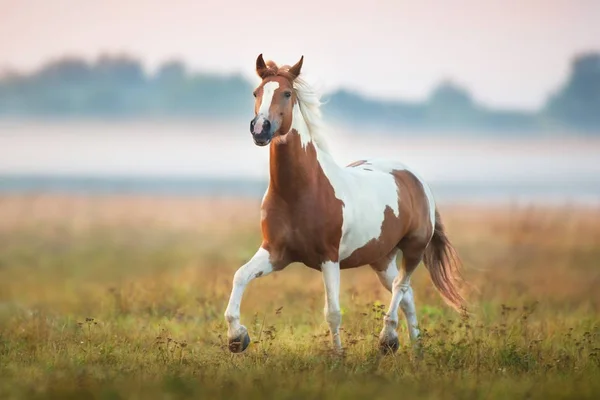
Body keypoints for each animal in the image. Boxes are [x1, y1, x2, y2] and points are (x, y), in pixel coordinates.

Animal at [223, 52, 466, 354]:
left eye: (287, 93)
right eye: (256, 92)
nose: (260, 129)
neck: (300, 192)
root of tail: (416, 179)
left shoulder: (329, 257)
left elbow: (333, 312)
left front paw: (338, 356)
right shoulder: (275, 253)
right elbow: (240, 276)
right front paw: (237, 337)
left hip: (413, 249)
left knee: (401, 288)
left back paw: (388, 339)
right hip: (381, 258)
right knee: (407, 296)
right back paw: (416, 353)